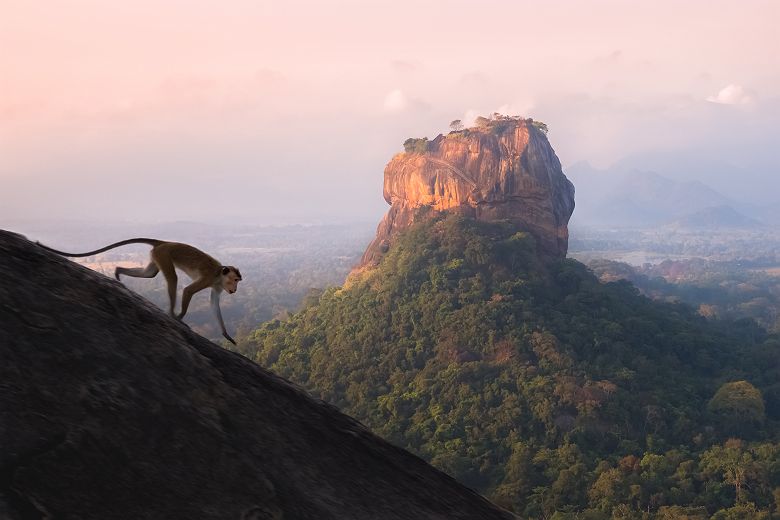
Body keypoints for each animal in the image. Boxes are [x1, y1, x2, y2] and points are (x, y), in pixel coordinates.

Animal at [35, 239, 241, 346]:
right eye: (235, 280)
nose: (235, 289)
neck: (218, 274)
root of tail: (165, 242)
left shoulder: (217, 286)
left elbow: (215, 304)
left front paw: (226, 334)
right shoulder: (208, 278)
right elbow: (188, 290)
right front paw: (180, 317)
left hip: (157, 256)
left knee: (150, 273)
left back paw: (117, 270)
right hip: (164, 255)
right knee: (172, 279)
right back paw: (171, 313)